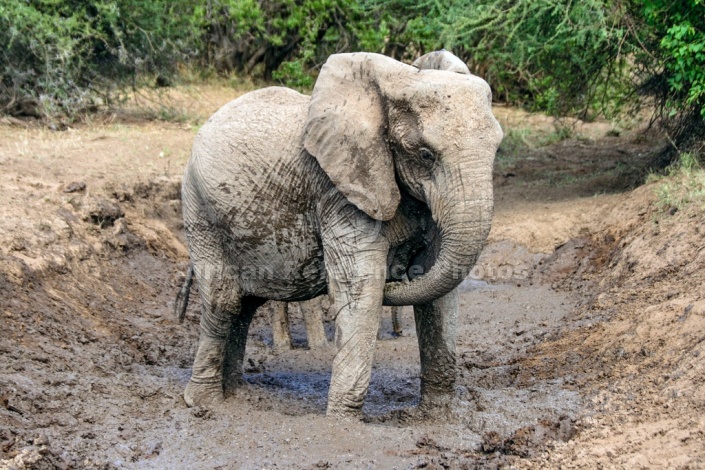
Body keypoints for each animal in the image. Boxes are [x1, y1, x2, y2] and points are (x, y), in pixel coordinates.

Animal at [179, 50, 504, 418]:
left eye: (497, 149)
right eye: (425, 154)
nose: (398, 275)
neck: (399, 79)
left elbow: (439, 293)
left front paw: (435, 418)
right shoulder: (338, 188)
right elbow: (360, 285)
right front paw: (343, 422)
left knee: (245, 306)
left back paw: (239, 394)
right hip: (198, 206)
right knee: (224, 299)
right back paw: (204, 402)